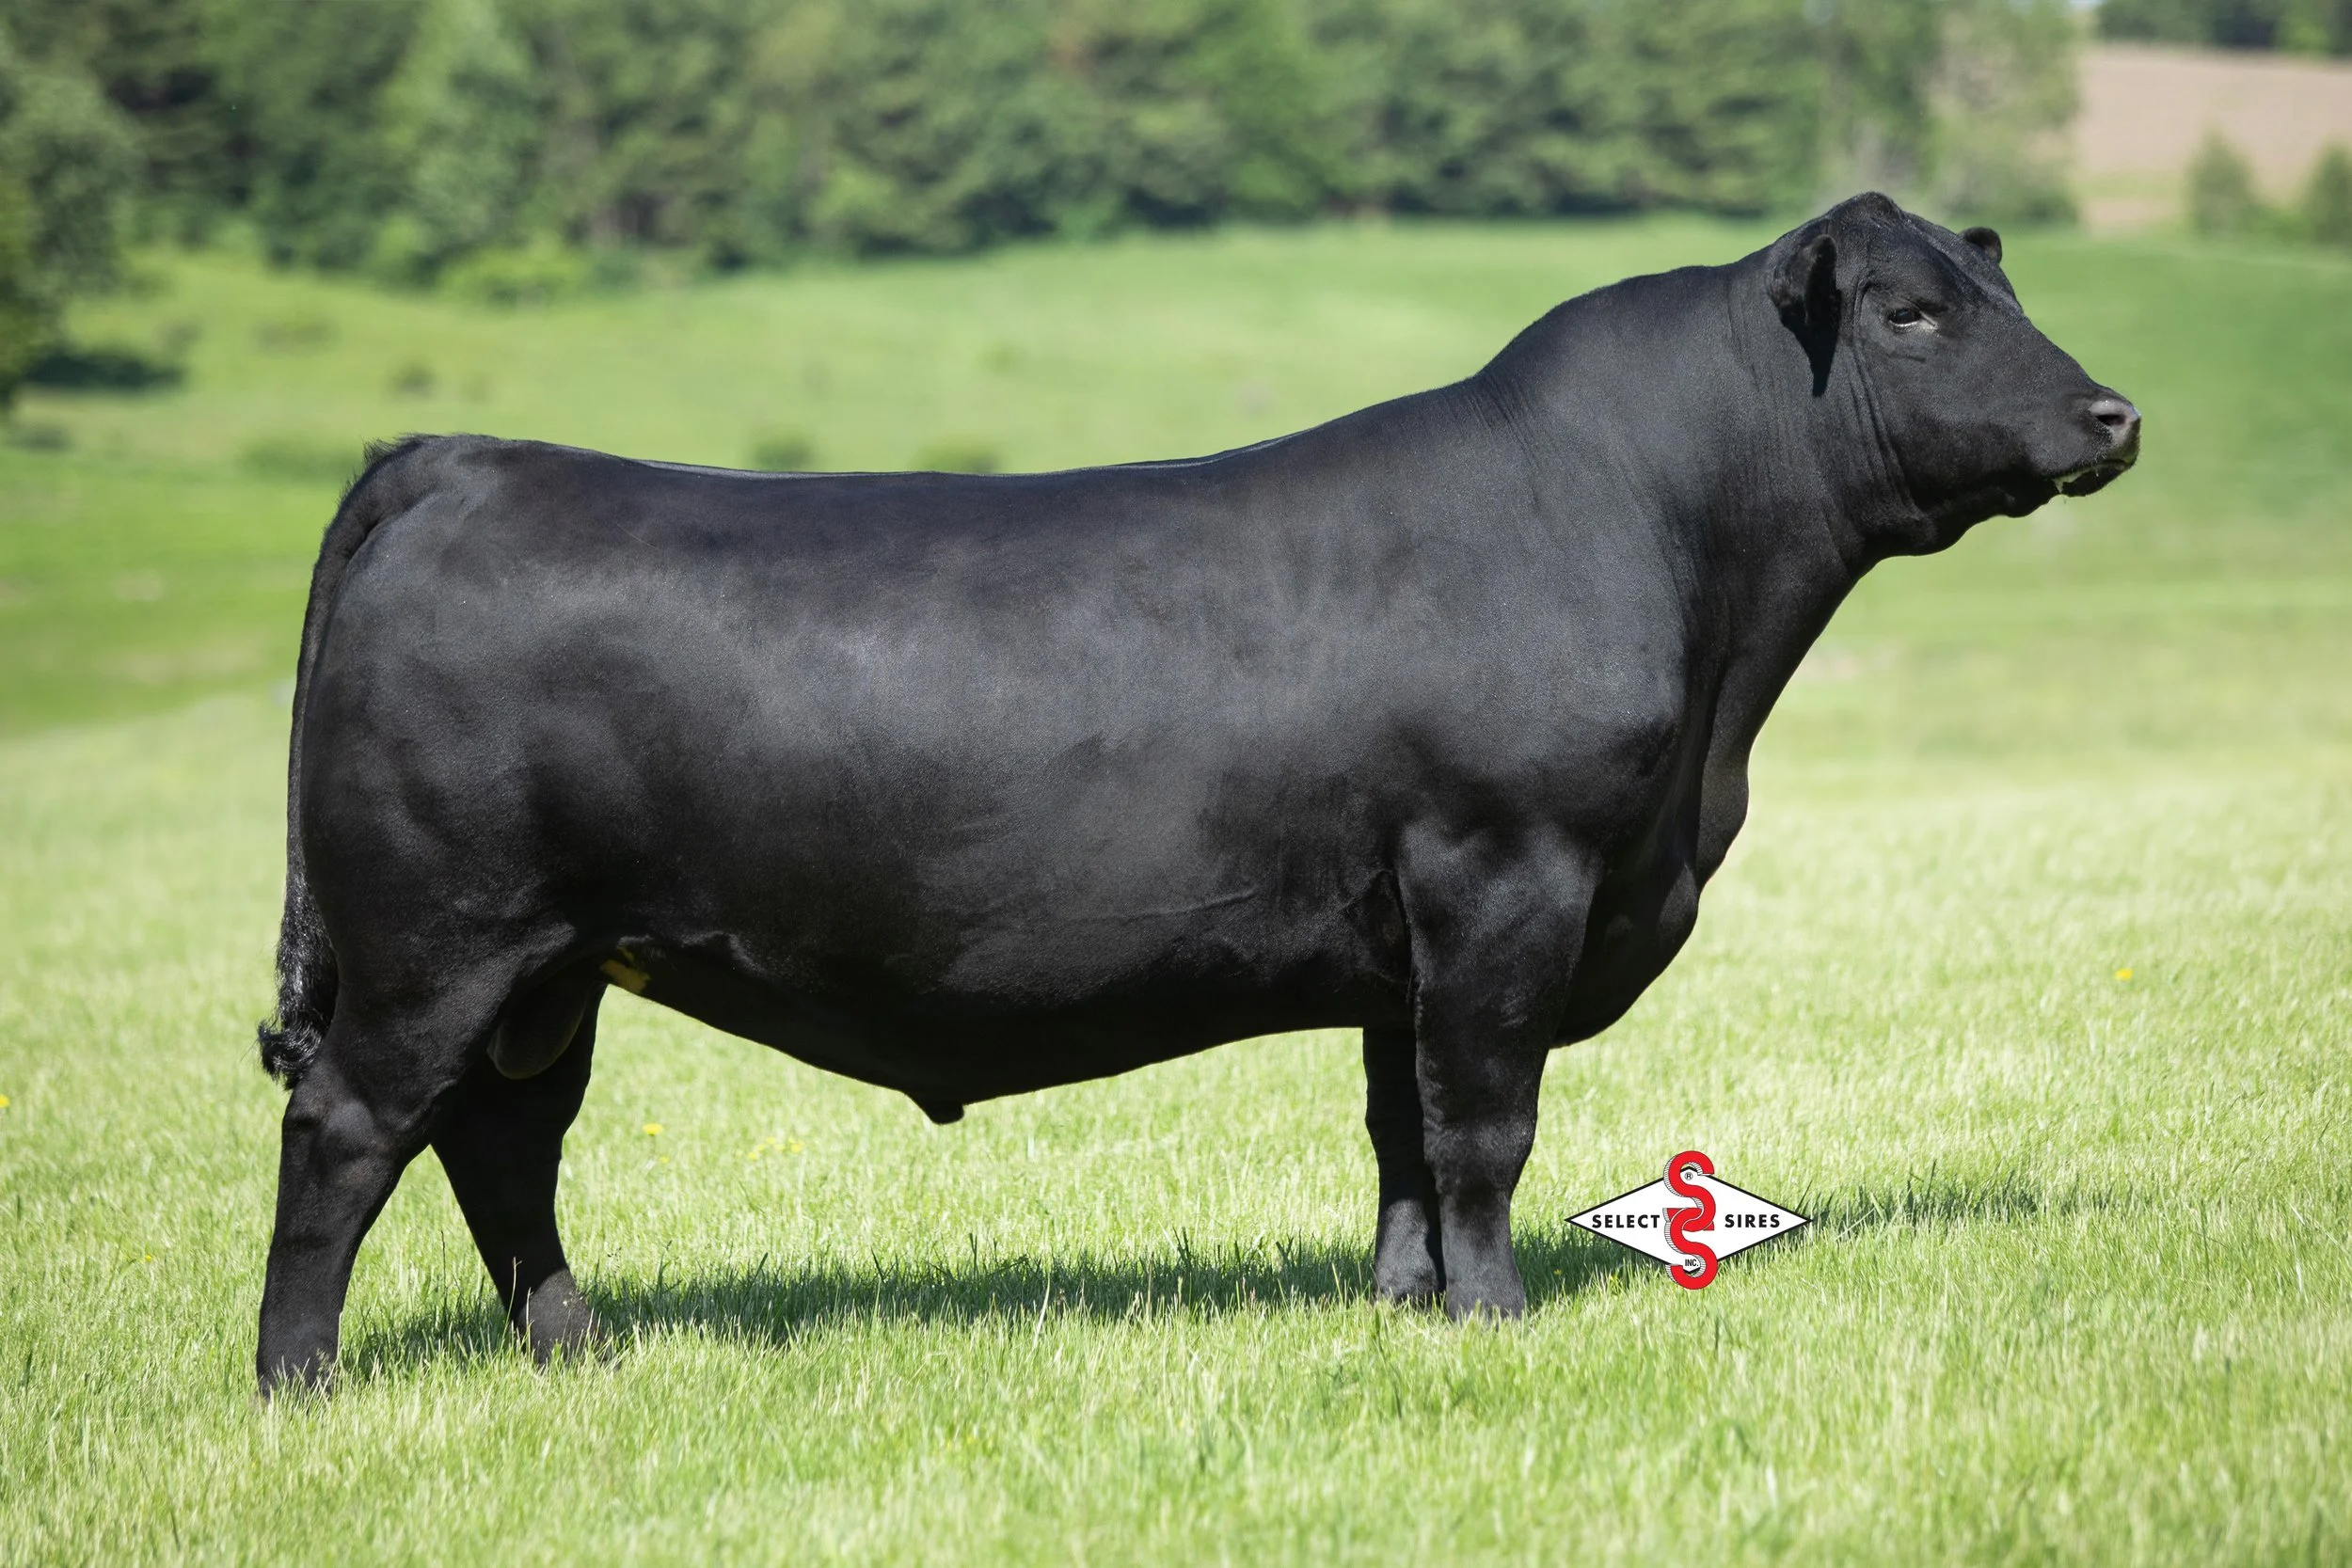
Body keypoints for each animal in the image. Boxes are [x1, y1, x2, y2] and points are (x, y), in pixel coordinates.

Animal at [253, 194, 2138, 1393]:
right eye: (1911, 314)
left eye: (2011, 294)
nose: (2112, 412)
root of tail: (460, 459)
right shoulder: (1505, 872)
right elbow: (1485, 1120)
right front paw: (1500, 1316)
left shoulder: (1408, 929)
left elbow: (1400, 1127)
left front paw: (1409, 1309)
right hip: (440, 939)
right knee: (349, 1127)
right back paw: (300, 1381)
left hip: (555, 965)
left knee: (504, 1147)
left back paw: (580, 1350)